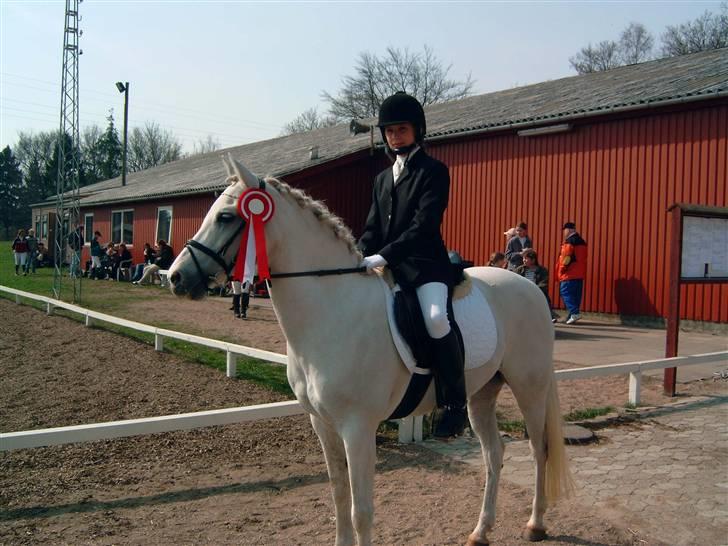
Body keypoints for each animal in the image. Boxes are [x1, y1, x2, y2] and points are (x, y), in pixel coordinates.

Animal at [168, 155, 572, 540]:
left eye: (225, 216)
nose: (175, 278)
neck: (332, 310)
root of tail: (530, 288)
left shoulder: (357, 428)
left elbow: (360, 511)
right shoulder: (322, 423)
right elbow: (338, 496)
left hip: (529, 387)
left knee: (539, 451)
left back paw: (535, 525)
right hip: (482, 393)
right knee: (494, 455)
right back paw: (481, 531)